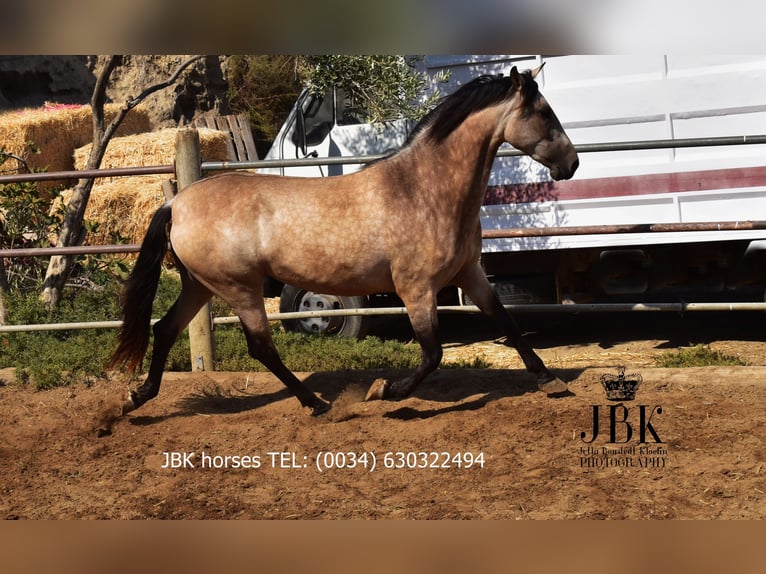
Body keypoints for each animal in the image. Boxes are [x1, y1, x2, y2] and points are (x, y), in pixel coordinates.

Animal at [109, 64, 579, 417]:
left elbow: (507, 321)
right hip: (238, 287)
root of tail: (179, 203)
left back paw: (137, 397)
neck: (423, 188)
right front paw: (385, 391)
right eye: (544, 112)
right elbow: (433, 353)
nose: (571, 164)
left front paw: (550, 380)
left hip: (200, 285)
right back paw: (316, 403)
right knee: (261, 346)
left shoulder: (469, 273)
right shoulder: (416, 288)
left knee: (164, 329)